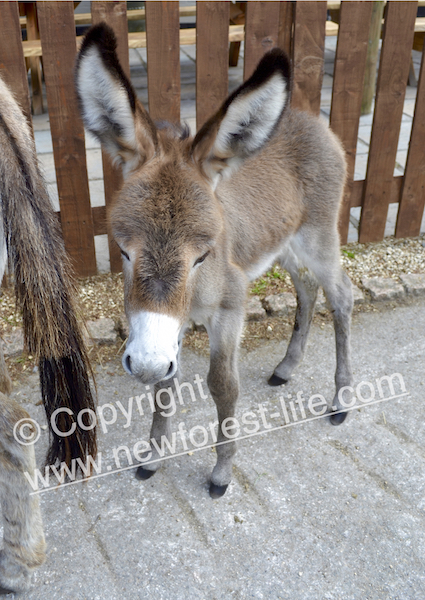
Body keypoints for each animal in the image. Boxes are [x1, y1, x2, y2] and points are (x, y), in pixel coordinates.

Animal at [75, 23, 352, 500]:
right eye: (124, 251)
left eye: (202, 256)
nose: (143, 364)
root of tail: (310, 120)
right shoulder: (168, 325)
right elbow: (163, 386)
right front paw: (152, 458)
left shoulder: (229, 308)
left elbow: (222, 386)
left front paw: (221, 472)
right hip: (285, 246)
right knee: (308, 288)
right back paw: (285, 369)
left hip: (318, 238)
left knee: (341, 296)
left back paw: (341, 402)